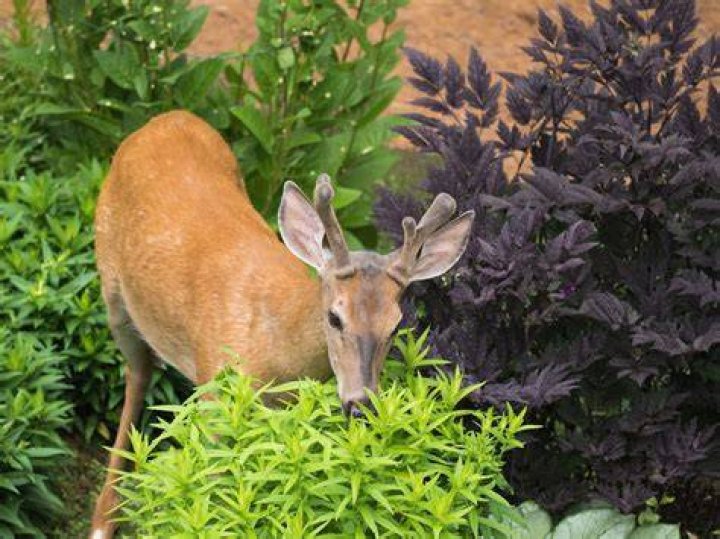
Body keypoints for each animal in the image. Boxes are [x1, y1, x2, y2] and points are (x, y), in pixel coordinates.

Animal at [89, 110, 474, 538]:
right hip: (111, 282)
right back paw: (104, 518)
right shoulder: (216, 393)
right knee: (137, 371)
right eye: (334, 316)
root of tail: (168, 117)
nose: (360, 405)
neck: (274, 342)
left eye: (396, 324)